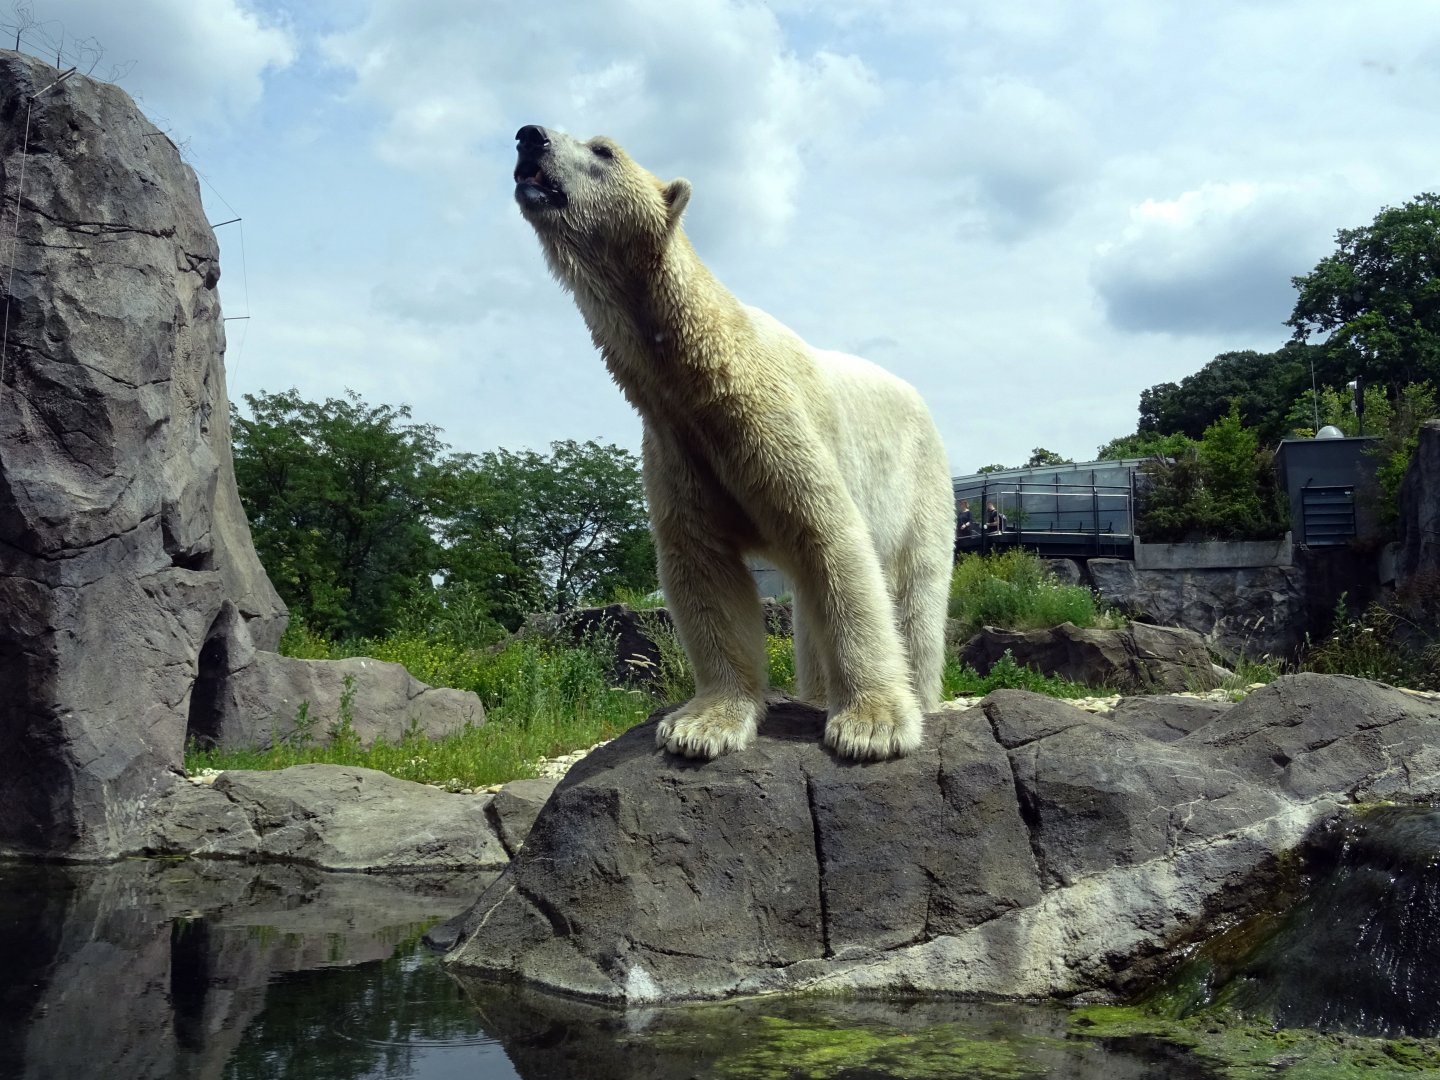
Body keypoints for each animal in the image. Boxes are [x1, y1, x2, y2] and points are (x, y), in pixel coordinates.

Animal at [513, 124, 956, 761]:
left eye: (603, 150)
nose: (529, 136)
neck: (711, 374)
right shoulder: (677, 446)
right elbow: (703, 568)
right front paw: (700, 726)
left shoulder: (777, 429)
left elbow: (837, 547)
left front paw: (873, 726)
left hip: (923, 482)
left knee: (915, 589)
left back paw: (920, 695)